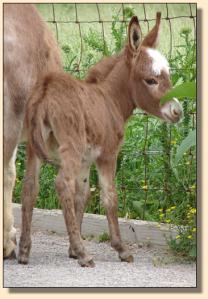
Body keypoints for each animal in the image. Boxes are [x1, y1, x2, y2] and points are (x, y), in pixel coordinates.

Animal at [19, 13, 182, 268]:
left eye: (167, 76)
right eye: (150, 80)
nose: (178, 111)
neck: (110, 99)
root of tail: (46, 88)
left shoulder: (86, 161)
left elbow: (82, 195)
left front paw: (72, 248)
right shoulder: (107, 155)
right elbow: (110, 197)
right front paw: (119, 249)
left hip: (34, 150)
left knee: (29, 188)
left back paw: (25, 251)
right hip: (71, 148)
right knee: (62, 183)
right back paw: (85, 255)